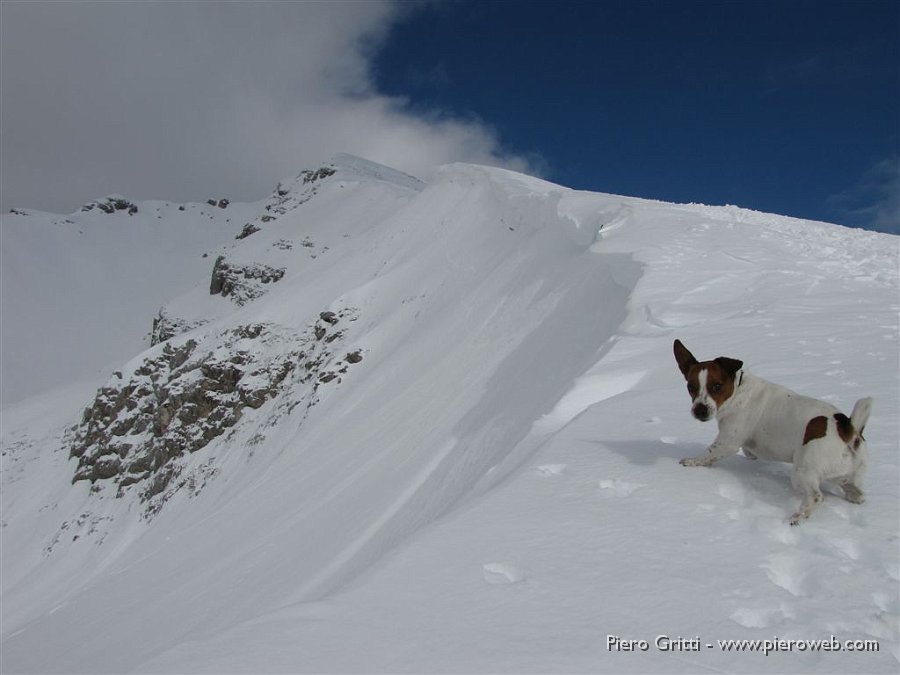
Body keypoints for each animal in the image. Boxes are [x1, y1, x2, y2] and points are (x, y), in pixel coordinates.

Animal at [676, 340, 872, 524]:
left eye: (716, 386)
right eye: (691, 387)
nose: (700, 410)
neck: (738, 390)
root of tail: (848, 429)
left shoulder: (727, 441)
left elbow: (708, 453)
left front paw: (692, 461)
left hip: (803, 471)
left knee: (816, 497)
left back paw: (796, 518)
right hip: (845, 476)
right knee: (857, 493)